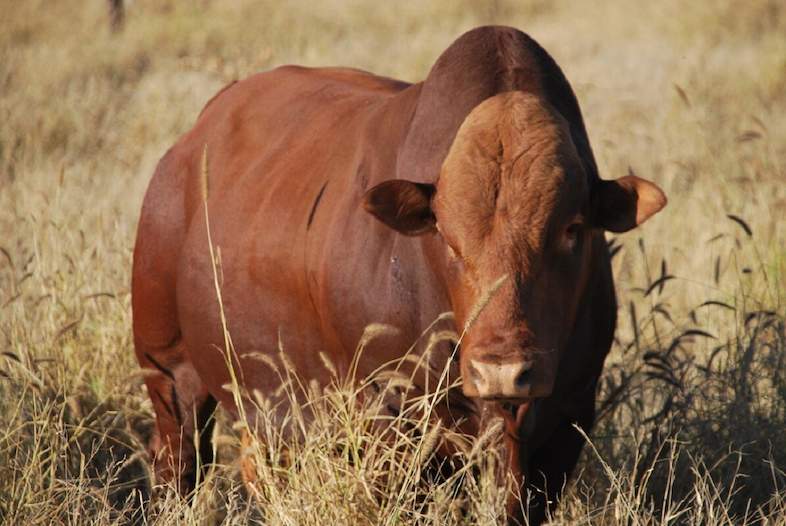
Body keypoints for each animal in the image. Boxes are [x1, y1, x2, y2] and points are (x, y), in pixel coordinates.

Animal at [132, 26, 666, 524]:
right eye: (445, 235)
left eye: (572, 229)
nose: (502, 370)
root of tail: (190, 142)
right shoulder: (392, 424)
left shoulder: (565, 420)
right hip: (169, 372)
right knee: (178, 462)